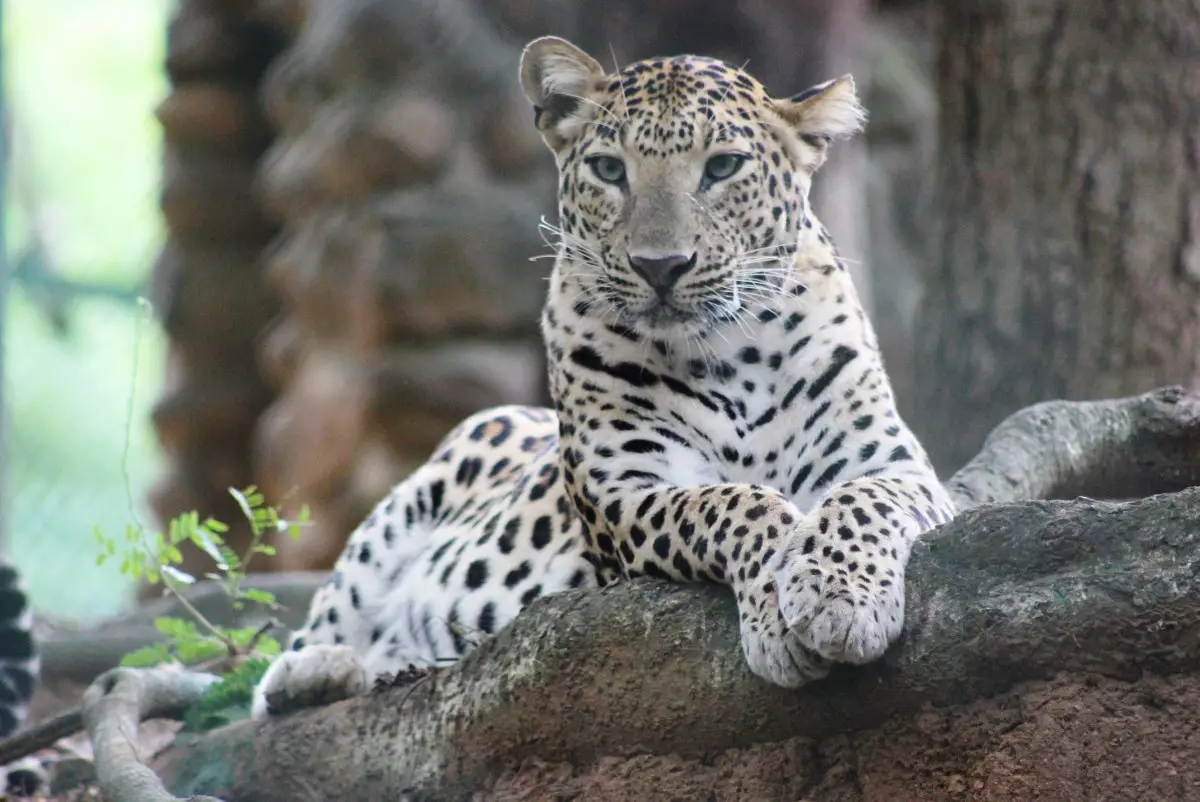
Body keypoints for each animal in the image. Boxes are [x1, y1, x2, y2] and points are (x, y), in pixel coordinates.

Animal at [253, 34, 955, 715]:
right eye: (610, 170)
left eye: (722, 167)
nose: (660, 266)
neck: (734, 352)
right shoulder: (627, 492)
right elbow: (736, 504)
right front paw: (780, 616)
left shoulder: (894, 466)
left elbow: (859, 503)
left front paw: (840, 596)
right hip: (411, 500)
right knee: (300, 652)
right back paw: (312, 673)